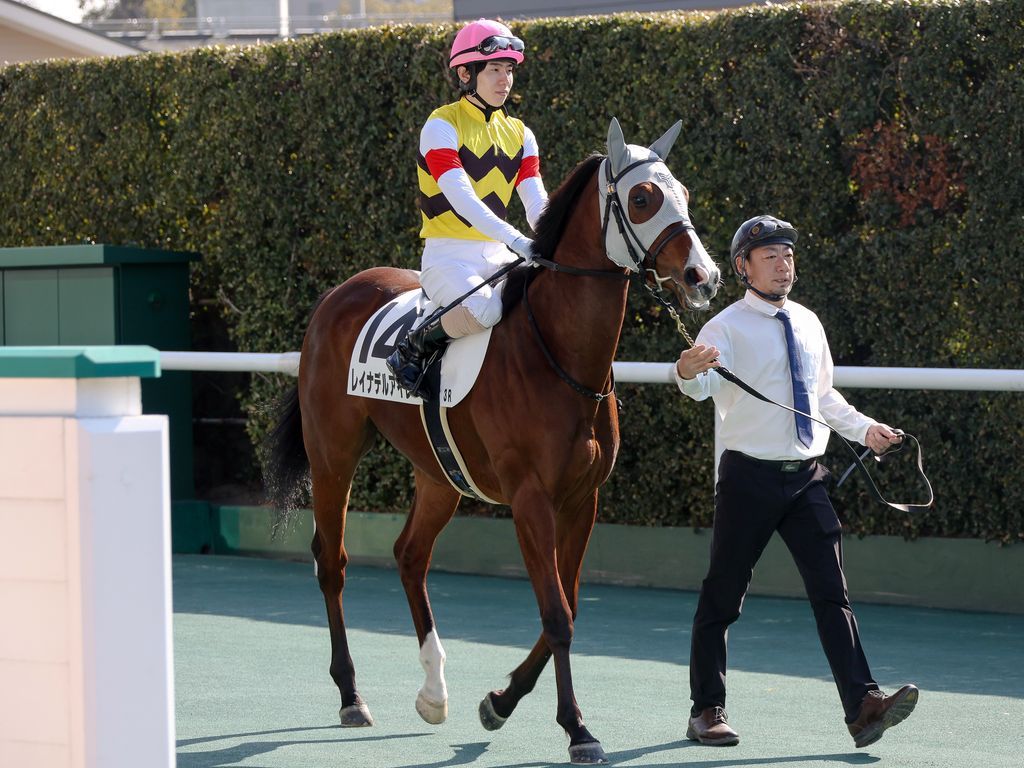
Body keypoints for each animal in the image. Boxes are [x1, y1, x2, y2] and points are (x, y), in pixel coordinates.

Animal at [266, 117, 721, 764]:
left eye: (681, 192)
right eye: (642, 198)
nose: (703, 277)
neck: (558, 353)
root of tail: (337, 295)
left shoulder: (582, 500)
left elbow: (568, 606)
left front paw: (499, 702)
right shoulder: (530, 500)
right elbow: (557, 614)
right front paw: (576, 728)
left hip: (439, 474)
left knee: (410, 555)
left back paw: (434, 692)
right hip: (333, 453)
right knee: (332, 561)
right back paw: (351, 694)